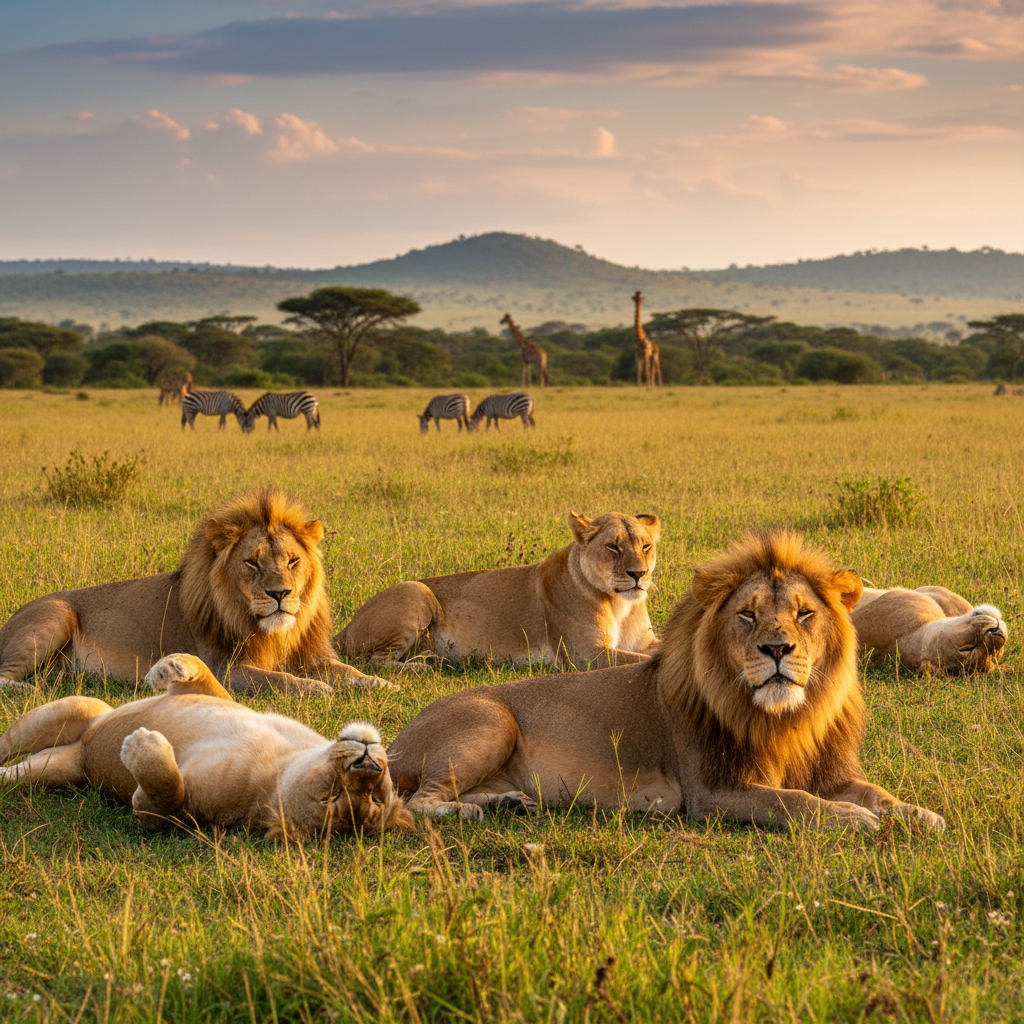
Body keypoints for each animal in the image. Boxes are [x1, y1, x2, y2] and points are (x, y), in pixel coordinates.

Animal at [0, 489, 390, 694]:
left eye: (293, 561)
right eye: (252, 563)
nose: (280, 594)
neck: (273, 633)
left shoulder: (312, 656)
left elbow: (346, 671)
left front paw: (379, 682)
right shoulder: (226, 668)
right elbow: (279, 679)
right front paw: (316, 689)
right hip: (54, 616)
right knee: (4, 674)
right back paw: (32, 689)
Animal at [0, 654, 412, 840]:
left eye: (333, 798)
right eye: (380, 795)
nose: (368, 765)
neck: (287, 758)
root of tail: (82, 754)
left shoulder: (183, 812)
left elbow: (166, 796)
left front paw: (141, 744)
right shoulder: (229, 701)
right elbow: (207, 675)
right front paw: (169, 668)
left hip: (47, 766)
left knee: (11, 774)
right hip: (69, 713)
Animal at [335, 511, 660, 669]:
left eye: (646, 546)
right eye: (613, 547)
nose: (638, 574)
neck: (621, 605)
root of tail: (345, 628)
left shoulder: (643, 642)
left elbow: (657, 651)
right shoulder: (586, 654)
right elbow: (646, 660)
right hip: (416, 590)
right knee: (376, 661)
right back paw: (424, 666)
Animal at [387, 530, 945, 833]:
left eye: (804, 613)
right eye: (747, 615)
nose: (777, 650)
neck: (787, 716)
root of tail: (396, 742)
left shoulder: (829, 772)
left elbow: (877, 792)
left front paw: (919, 814)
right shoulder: (713, 792)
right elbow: (791, 801)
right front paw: (851, 820)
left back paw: (507, 804)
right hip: (490, 722)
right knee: (417, 801)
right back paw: (471, 814)